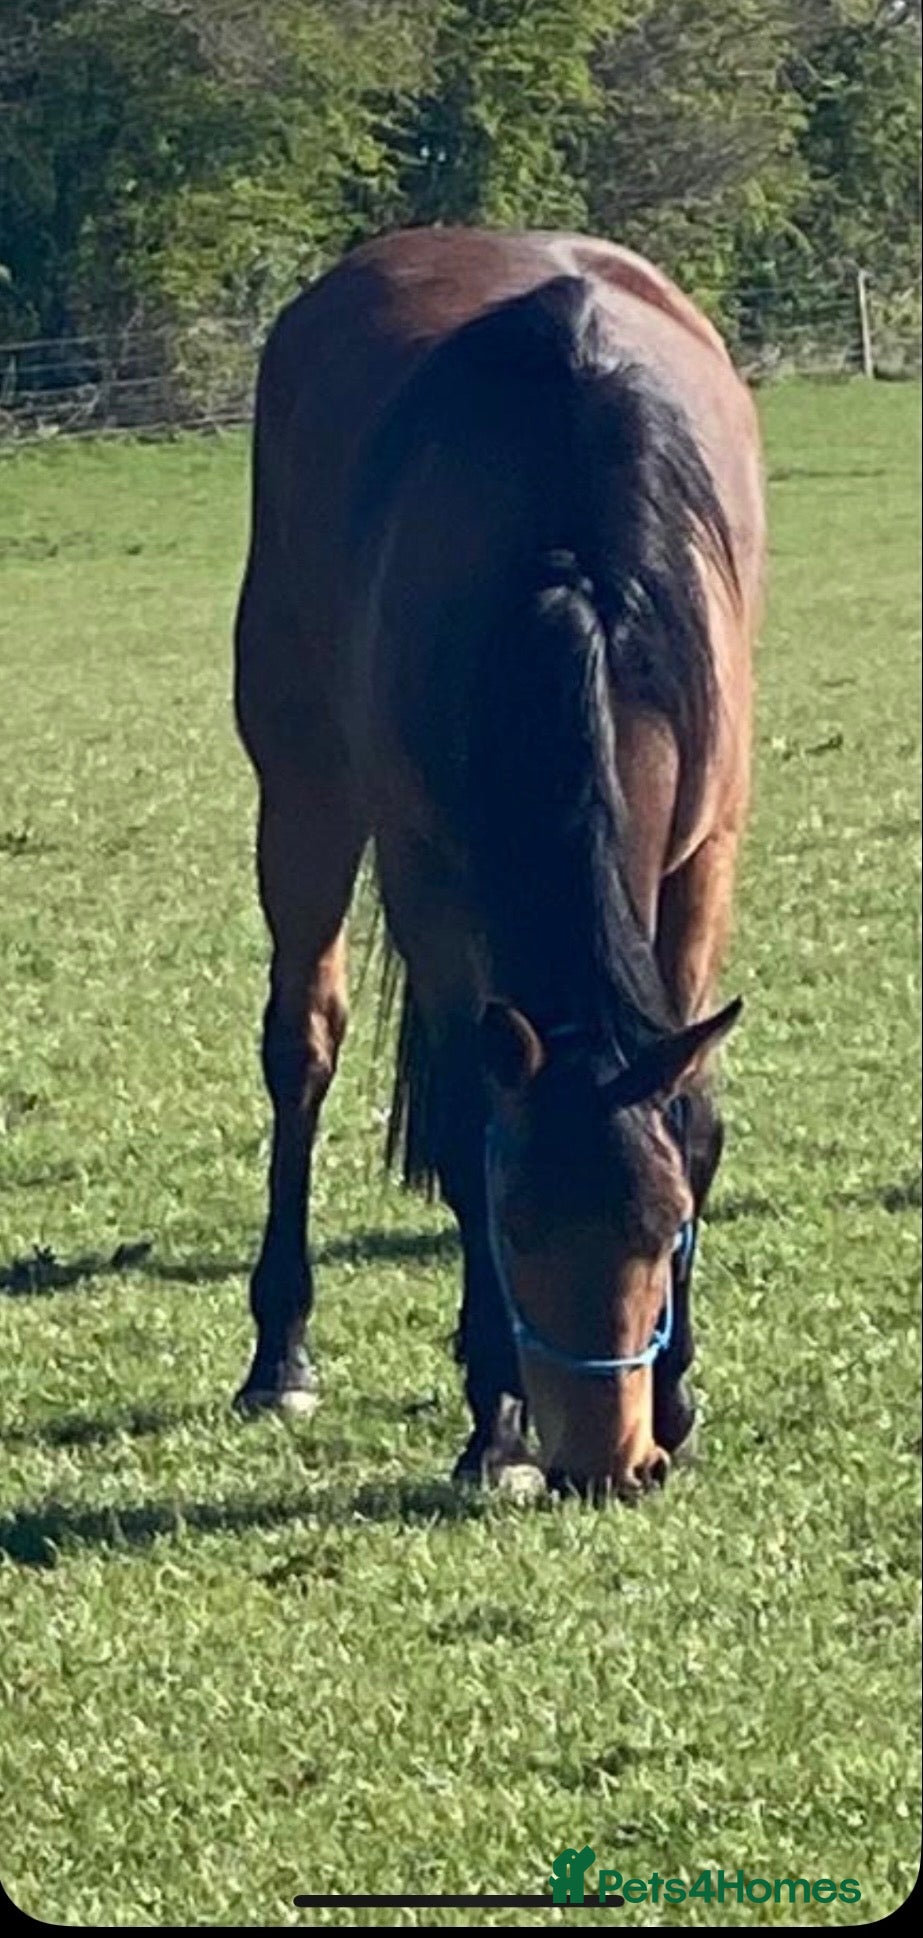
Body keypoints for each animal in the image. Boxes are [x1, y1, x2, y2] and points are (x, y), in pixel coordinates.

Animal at [233, 226, 764, 1499]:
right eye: (518, 1228)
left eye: (664, 1222)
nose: (606, 1463)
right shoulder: (429, 870)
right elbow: (473, 1112)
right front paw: (495, 1423)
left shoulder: (702, 860)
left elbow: (693, 1100)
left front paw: (680, 1397)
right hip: (305, 790)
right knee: (302, 1045)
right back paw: (280, 1355)